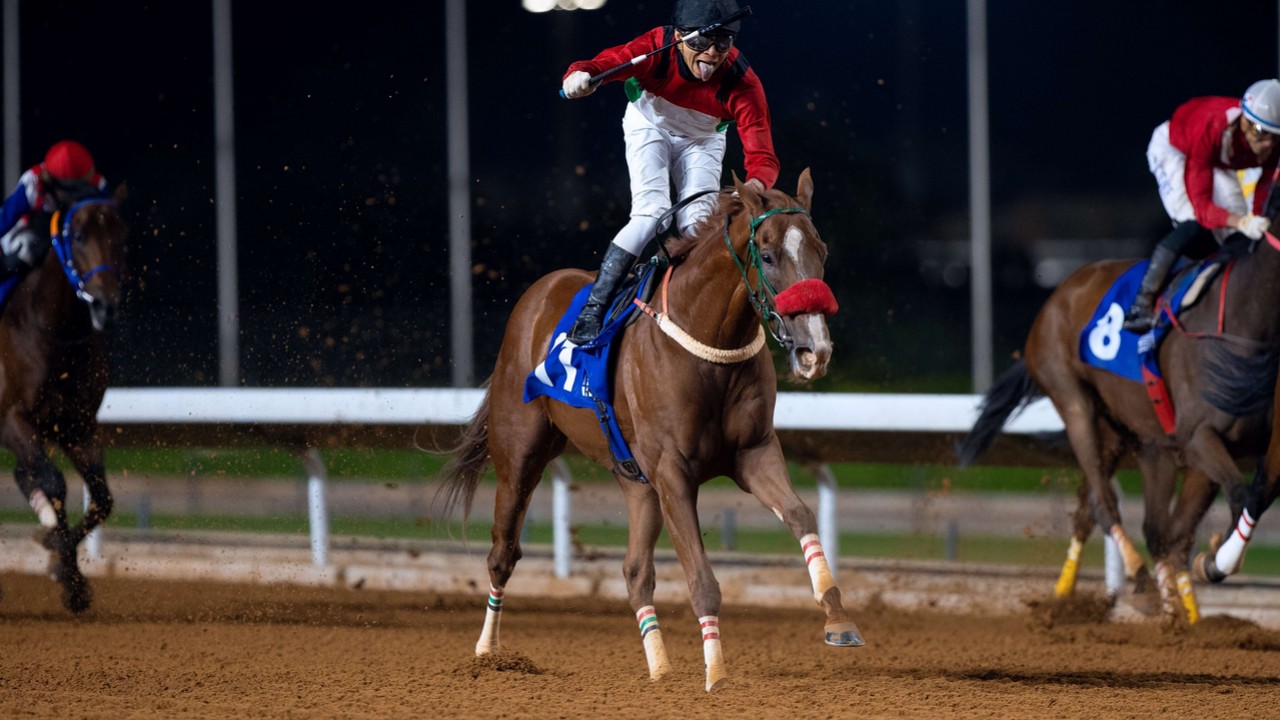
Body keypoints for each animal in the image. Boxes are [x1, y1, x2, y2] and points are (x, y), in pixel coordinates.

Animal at [2, 196, 126, 609]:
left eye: (121, 235)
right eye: (79, 234)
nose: (106, 306)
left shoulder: (78, 426)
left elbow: (102, 497)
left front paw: (66, 569)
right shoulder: (12, 420)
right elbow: (54, 483)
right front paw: (64, 563)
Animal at [435, 169, 865, 691]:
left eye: (821, 251)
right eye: (767, 255)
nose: (813, 351)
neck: (708, 341)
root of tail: (541, 290)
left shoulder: (752, 453)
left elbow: (801, 515)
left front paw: (838, 618)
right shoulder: (673, 471)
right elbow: (702, 577)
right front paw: (717, 675)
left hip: (635, 478)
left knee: (635, 570)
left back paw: (659, 668)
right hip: (520, 455)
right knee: (503, 553)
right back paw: (487, 654)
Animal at [957, 230, 1274, 622]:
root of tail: (1064, 289)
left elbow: (1214, 515)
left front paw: (1208, 568)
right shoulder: (1198, 434)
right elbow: (1241, 495)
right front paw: (1214, 560)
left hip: (1132, 437)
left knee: (1128, 520)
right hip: (1073, 399)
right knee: (1103, 504)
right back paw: (1135, 582)